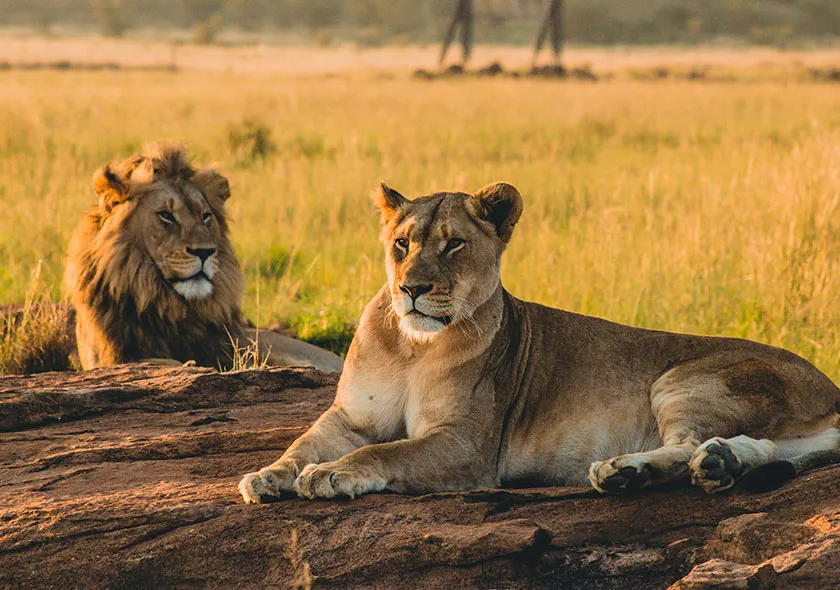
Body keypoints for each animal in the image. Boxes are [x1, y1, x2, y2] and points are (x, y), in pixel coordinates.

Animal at [238, 182, 840, 502]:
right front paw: (267, 475)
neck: (414, 347)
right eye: (401, 244)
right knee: (755, 448)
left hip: (682, 378)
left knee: (688, 443)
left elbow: (387, 449)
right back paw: (716, 465)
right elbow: (303, 443)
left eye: (454, 245)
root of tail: (831, 388)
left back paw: (626, 472)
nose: (411, 289)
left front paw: (332, 474)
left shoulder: (468, 446)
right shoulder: (350, 416)